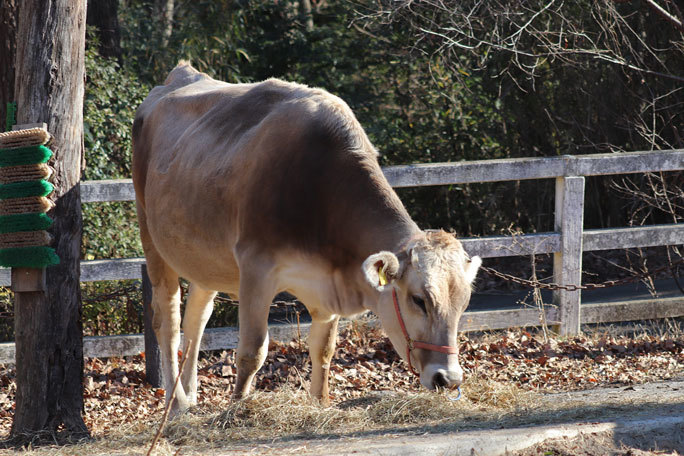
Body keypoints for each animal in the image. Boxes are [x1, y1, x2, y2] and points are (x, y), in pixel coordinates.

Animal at [132, 62, 480, 416]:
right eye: (418, 300)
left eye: (464, 302)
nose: (448, 378)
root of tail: (181, 74)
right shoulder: (256, 267)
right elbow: (252, 351)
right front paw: (238, 409)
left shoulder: (326, 285)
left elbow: (323, 349)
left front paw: (320, 404)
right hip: (151, 235)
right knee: (167, 321)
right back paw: (175, 403)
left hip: (204, 257)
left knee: (197, 317)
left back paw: (189, 395)